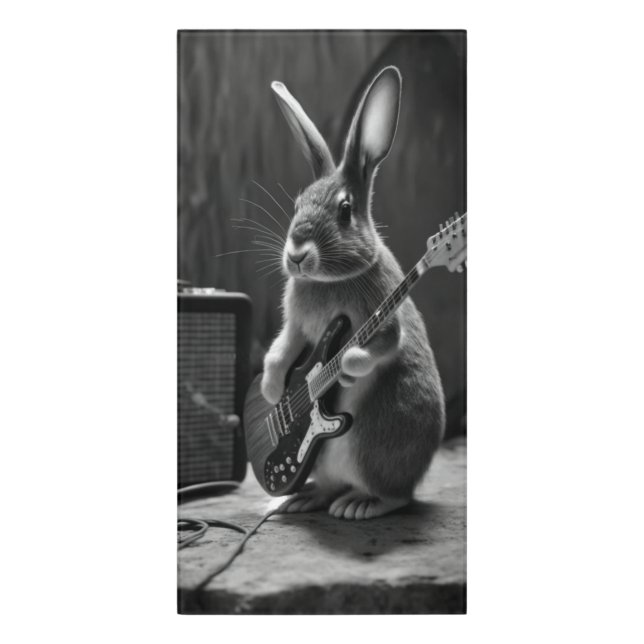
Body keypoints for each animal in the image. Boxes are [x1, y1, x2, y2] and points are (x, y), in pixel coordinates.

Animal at [261, 66, 446, 520]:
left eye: (345, 211)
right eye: (297, 204)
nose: (296, 255)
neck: (328, 280)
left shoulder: (380, 317)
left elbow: (376, 347)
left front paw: (343, 369)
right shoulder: (296, 328)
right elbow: (279, 351)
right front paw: (273, 394)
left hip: (374, 445)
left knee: (396, 496)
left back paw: (361, 505)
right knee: (329, 485)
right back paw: (301, 497)